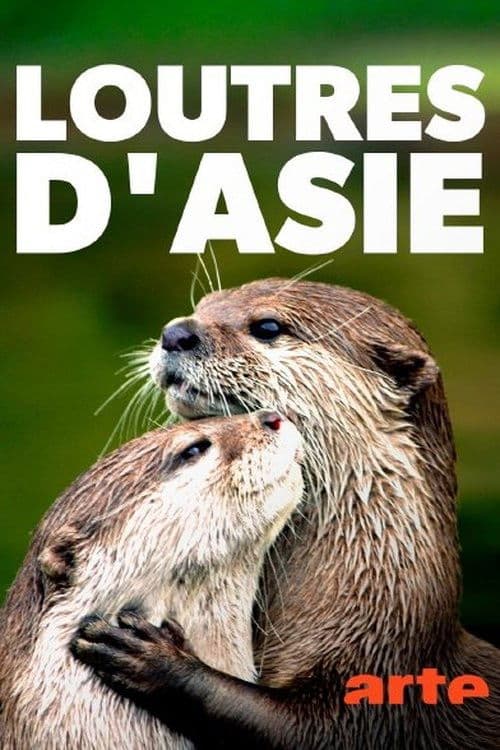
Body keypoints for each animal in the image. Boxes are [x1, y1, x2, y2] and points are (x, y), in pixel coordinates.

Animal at [74, 278, 500, 749]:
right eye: (201, 307)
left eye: (268, 326)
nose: (176, 332)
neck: (380, 584)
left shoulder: (378, 683)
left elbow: (308, 729)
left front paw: (156, 659)